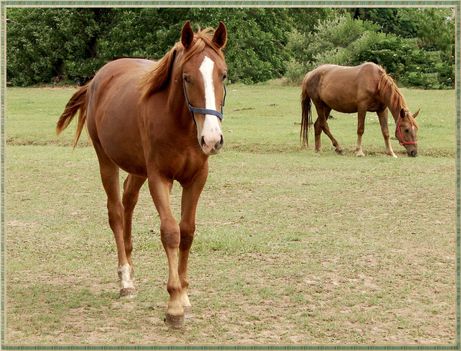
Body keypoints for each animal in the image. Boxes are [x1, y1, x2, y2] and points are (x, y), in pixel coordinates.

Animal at [55, 22, 228, 330]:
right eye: (186, 77)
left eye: (224, 74)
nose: (211, 139)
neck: (180, 125)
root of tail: (99, 77)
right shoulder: (160, 178)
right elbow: (170, 232)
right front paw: (174, 306)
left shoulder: (196, 179)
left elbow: (187, 232)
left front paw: (184, 294)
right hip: (106, 161)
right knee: (115, 211)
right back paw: (125, 278)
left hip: (137, 170)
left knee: (128, 201)